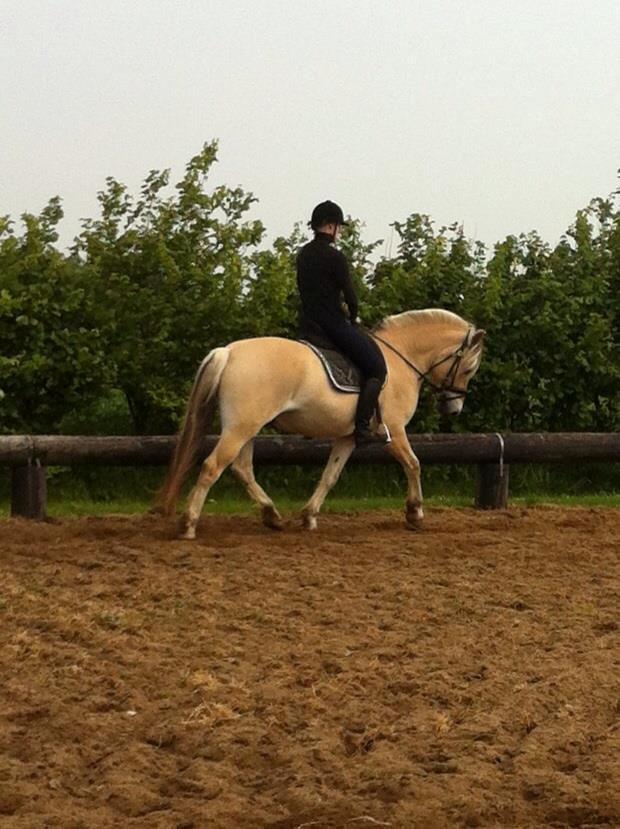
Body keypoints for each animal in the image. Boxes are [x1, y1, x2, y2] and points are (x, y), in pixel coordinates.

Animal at [159, 308, 484, 536]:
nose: (453, 408)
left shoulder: (348, 437)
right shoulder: (394, 430)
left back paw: (272, 516)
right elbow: (413, 464)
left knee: (241, 469)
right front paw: (415, 513)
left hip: (247, 427)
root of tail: (228, 351)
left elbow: (330, 475)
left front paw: (309, 516)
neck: (399, 358)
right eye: (468, 368)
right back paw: (188, 524)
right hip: (241, 428)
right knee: (213, 466)